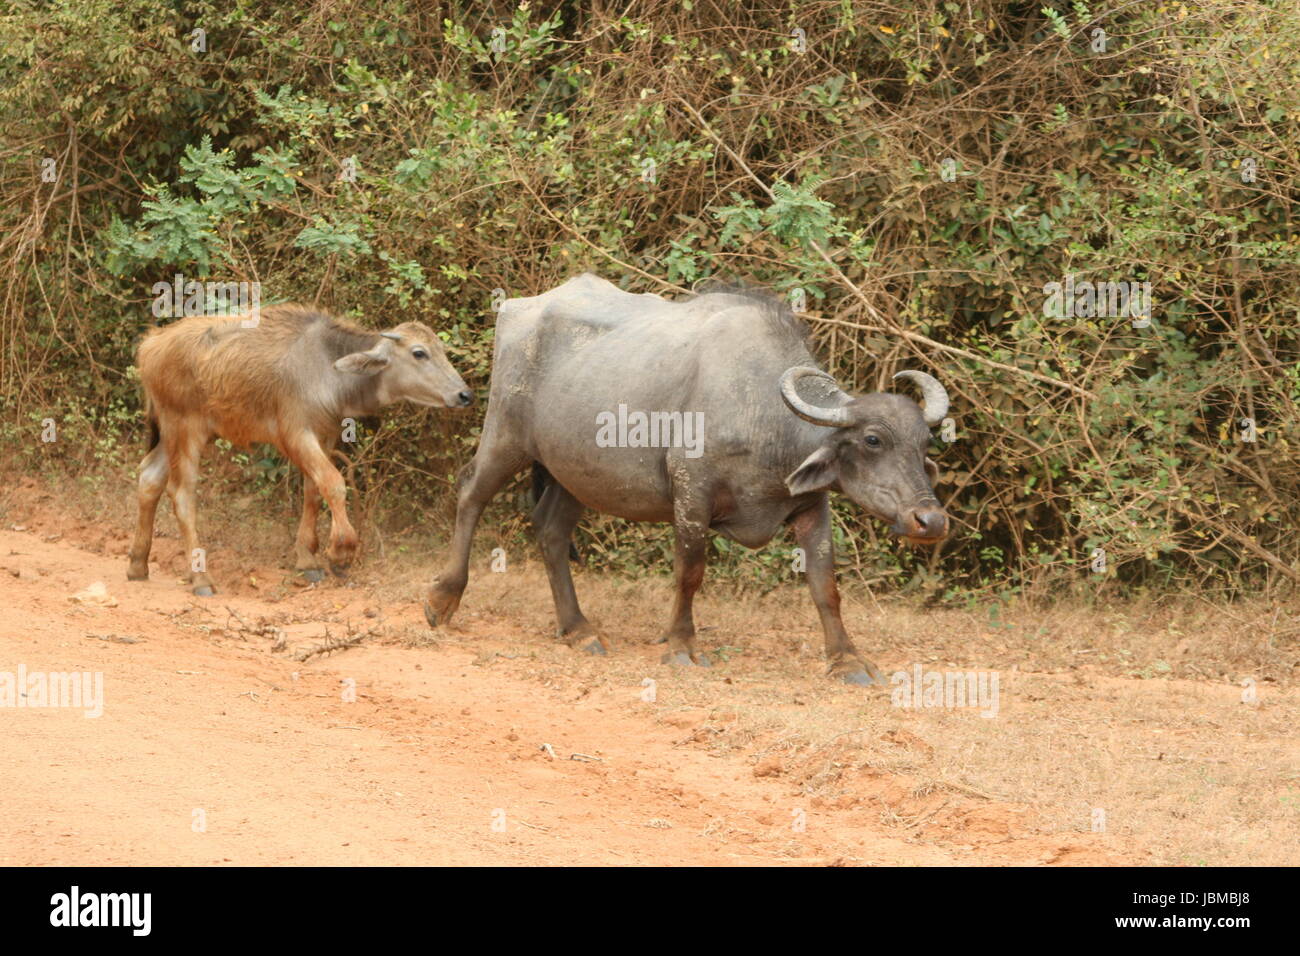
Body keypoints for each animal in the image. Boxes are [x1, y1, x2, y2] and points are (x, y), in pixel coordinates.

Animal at [127, 304, 472, 595]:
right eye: (419, 353)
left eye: (441, 350)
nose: (464, 394)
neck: (327, 366)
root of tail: (151, 345)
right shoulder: (295, 434)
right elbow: (334, 483)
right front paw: (341, 552)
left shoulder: (326, 435)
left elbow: (314, 490)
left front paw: (307, 558)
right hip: (185, 430)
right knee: (182, 494)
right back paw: (200, 578)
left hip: (175, 433)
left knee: (149, 478)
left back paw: (138, 564)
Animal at [424, 274, 950, 686]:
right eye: (873, 440)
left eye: (924, 444)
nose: (931, 521)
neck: (760, 411)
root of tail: (520, 307)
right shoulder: (692, 496)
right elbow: (690, 573)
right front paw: (681, 645)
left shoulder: (810, 506)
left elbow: (826, 586)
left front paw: (847, 660)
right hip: (506, 435)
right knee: (471, 492)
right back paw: (442, 599)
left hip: (577, 473)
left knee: (551, 529)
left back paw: (579, 629)